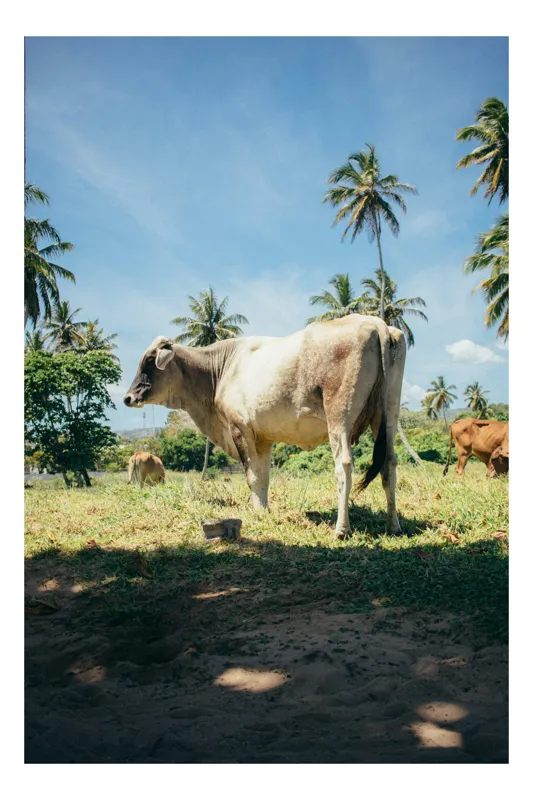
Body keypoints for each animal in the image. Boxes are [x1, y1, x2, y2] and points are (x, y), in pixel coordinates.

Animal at [123, 315, 407, 536]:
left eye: (149, 361)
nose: (128, 398)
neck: (220, 369)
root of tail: (375, 322)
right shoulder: (263, 438)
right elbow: (263, 477)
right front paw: (264, 511)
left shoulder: (239, 428)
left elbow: (252, 476)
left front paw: (257, 512)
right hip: (387, 415)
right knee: (389, 463)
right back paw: (393, 525)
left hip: (339, 416)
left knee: (344, 464)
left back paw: (341, 529)